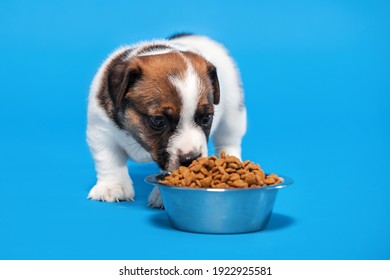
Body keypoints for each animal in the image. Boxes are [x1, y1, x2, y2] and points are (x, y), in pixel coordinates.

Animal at [86, 34, 245, 207]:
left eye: (207, 118)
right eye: (158, 121)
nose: (191, 159)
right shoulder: (101, 130)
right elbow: (109, 160)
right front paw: (112, 185)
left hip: (233, 117)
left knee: (229, 140)